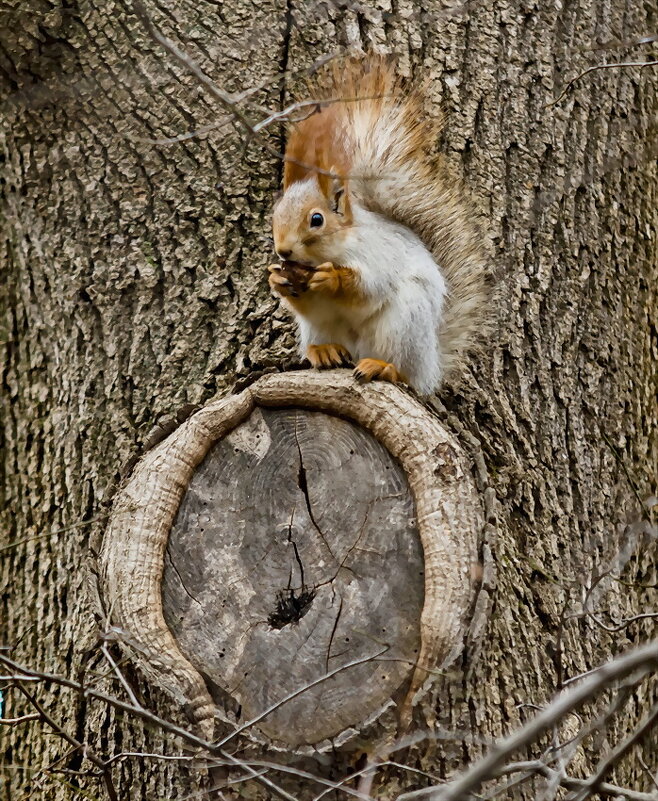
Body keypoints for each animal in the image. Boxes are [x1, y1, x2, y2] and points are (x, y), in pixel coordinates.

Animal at [266, 56, 486, 394]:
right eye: (275, 215)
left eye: (317, 219)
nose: (283, 251)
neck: (333, 250)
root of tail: (431, 364)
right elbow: (308, 303)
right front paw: (277, 279)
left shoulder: (379, 255)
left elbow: (368, 289)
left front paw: (333, 279)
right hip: (319, 328)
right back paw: (324, 351)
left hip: (406, 323)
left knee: (406, 374)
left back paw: (385, 368)